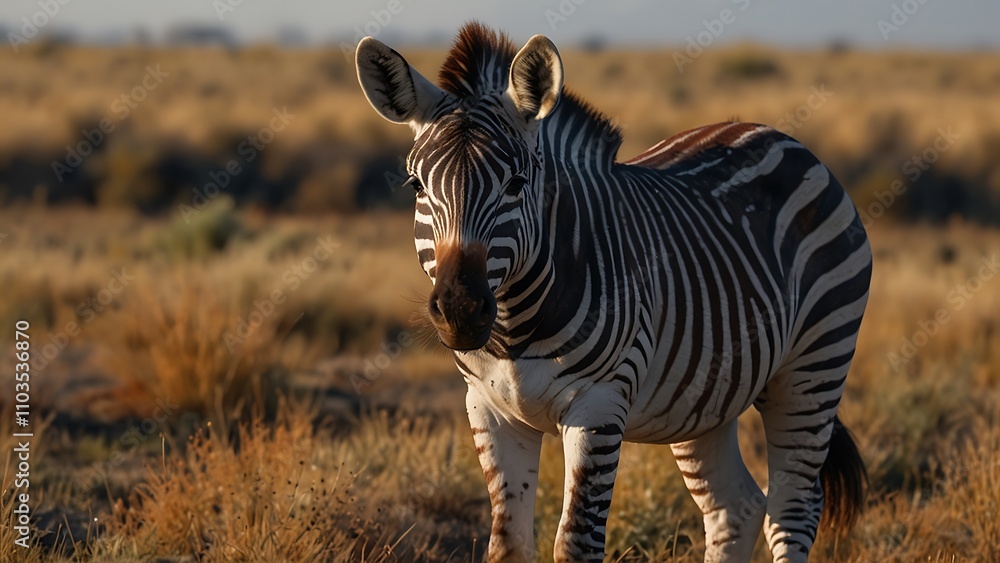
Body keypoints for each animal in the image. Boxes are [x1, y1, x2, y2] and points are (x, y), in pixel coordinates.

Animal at [356, 22, 870, 563]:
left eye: (516, 183)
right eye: (416, 186)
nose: (459, 310)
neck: (515, 326)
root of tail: (776, 135)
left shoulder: (598, 408)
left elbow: (576, 542)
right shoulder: (490, 410)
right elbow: (508, 543)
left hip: (813, 366)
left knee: (793, 509)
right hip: (706, 396)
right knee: (735, 508)